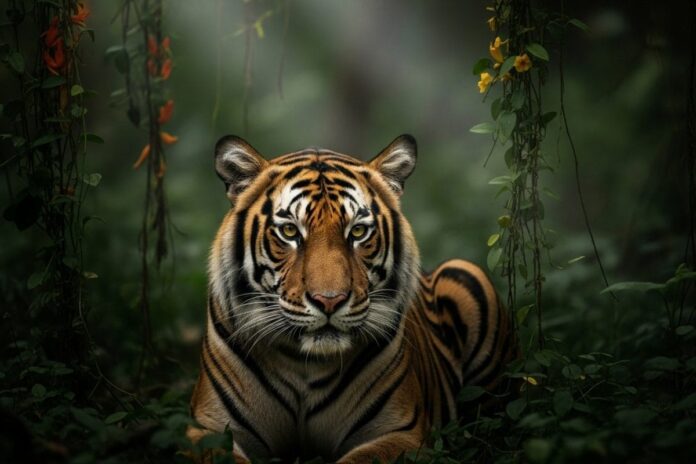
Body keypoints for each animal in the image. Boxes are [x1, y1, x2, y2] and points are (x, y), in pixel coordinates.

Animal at [187, 134, 518, 463]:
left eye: (358, 232)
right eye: (290, 231)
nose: (329, 301)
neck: (305, 366)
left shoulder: (400, 433)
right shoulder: (208, 428)